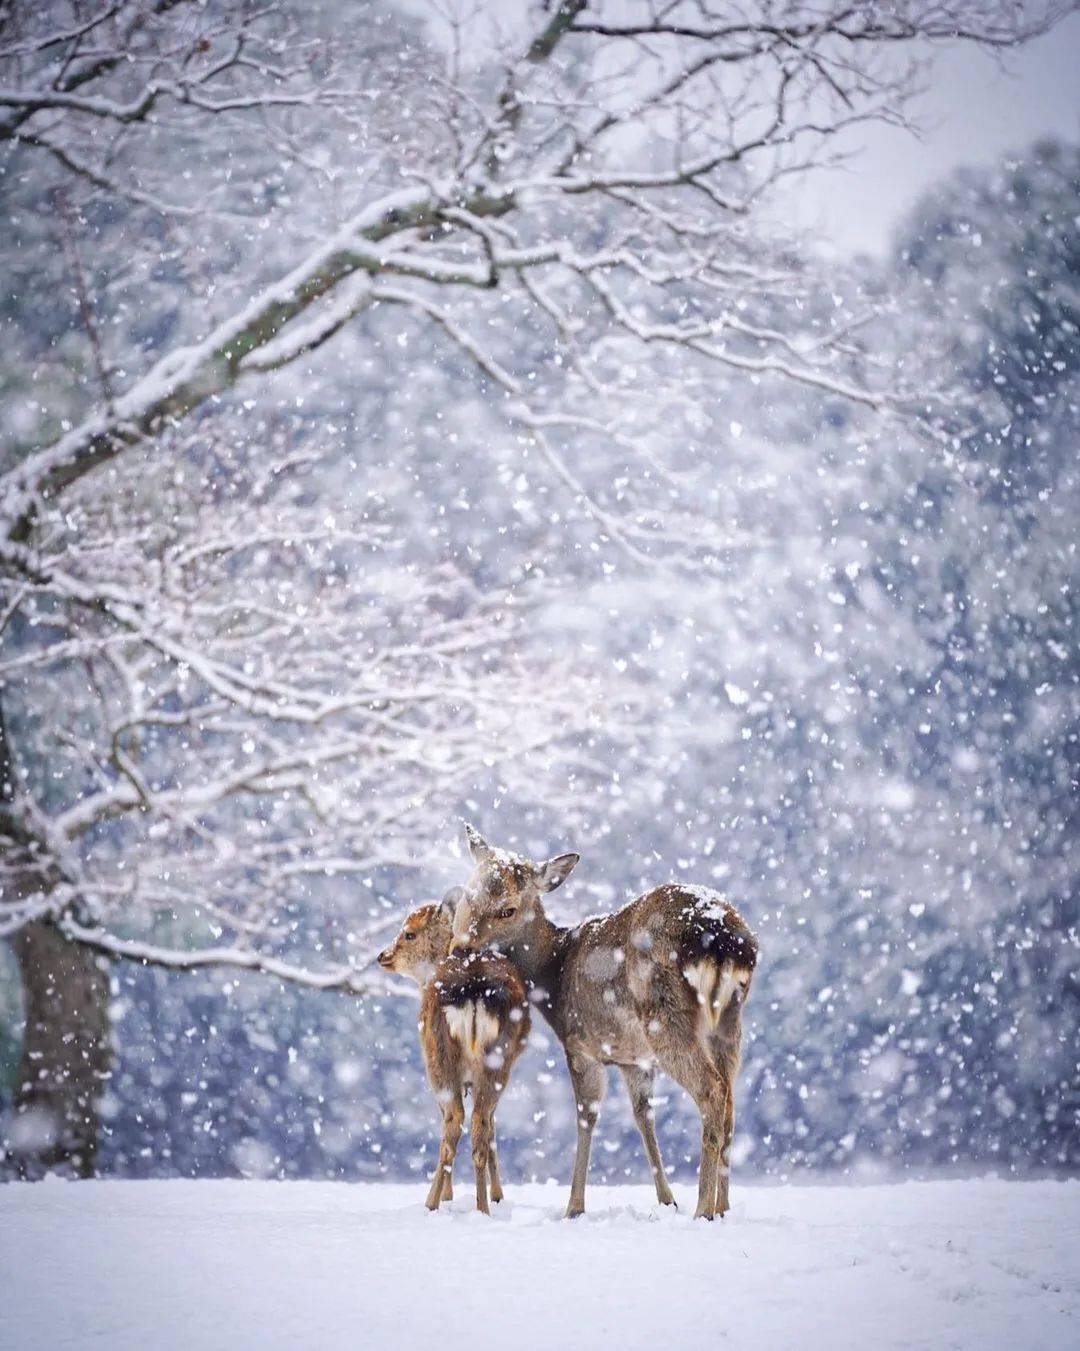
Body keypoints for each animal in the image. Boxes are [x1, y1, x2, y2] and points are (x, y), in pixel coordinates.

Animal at [381, 897, 532, 1215]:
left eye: (409, 933)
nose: (383, 955)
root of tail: (473, 990)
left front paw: (447, 1195)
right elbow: (492, 1129)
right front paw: (498, 1195)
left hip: (439, 1060)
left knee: (453, 1121)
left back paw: (431, 1202)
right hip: (497, 1063)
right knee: (480, 1124)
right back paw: (483, 1207)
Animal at [451, 826, 756, 1221]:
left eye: (508, 909)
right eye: (467, 894)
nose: (459, 950)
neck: (554, 977)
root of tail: (722, 940)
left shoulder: (581, 1045)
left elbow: (586, 1117)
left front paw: (573, 1207)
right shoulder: (634, 1059)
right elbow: (643, 1115)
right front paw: (667, 1200)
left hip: (664, 1017)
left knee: (712, 1090)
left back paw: (702, 1210)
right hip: (729, 1022)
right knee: (730, 1099)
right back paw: (723, 1208)